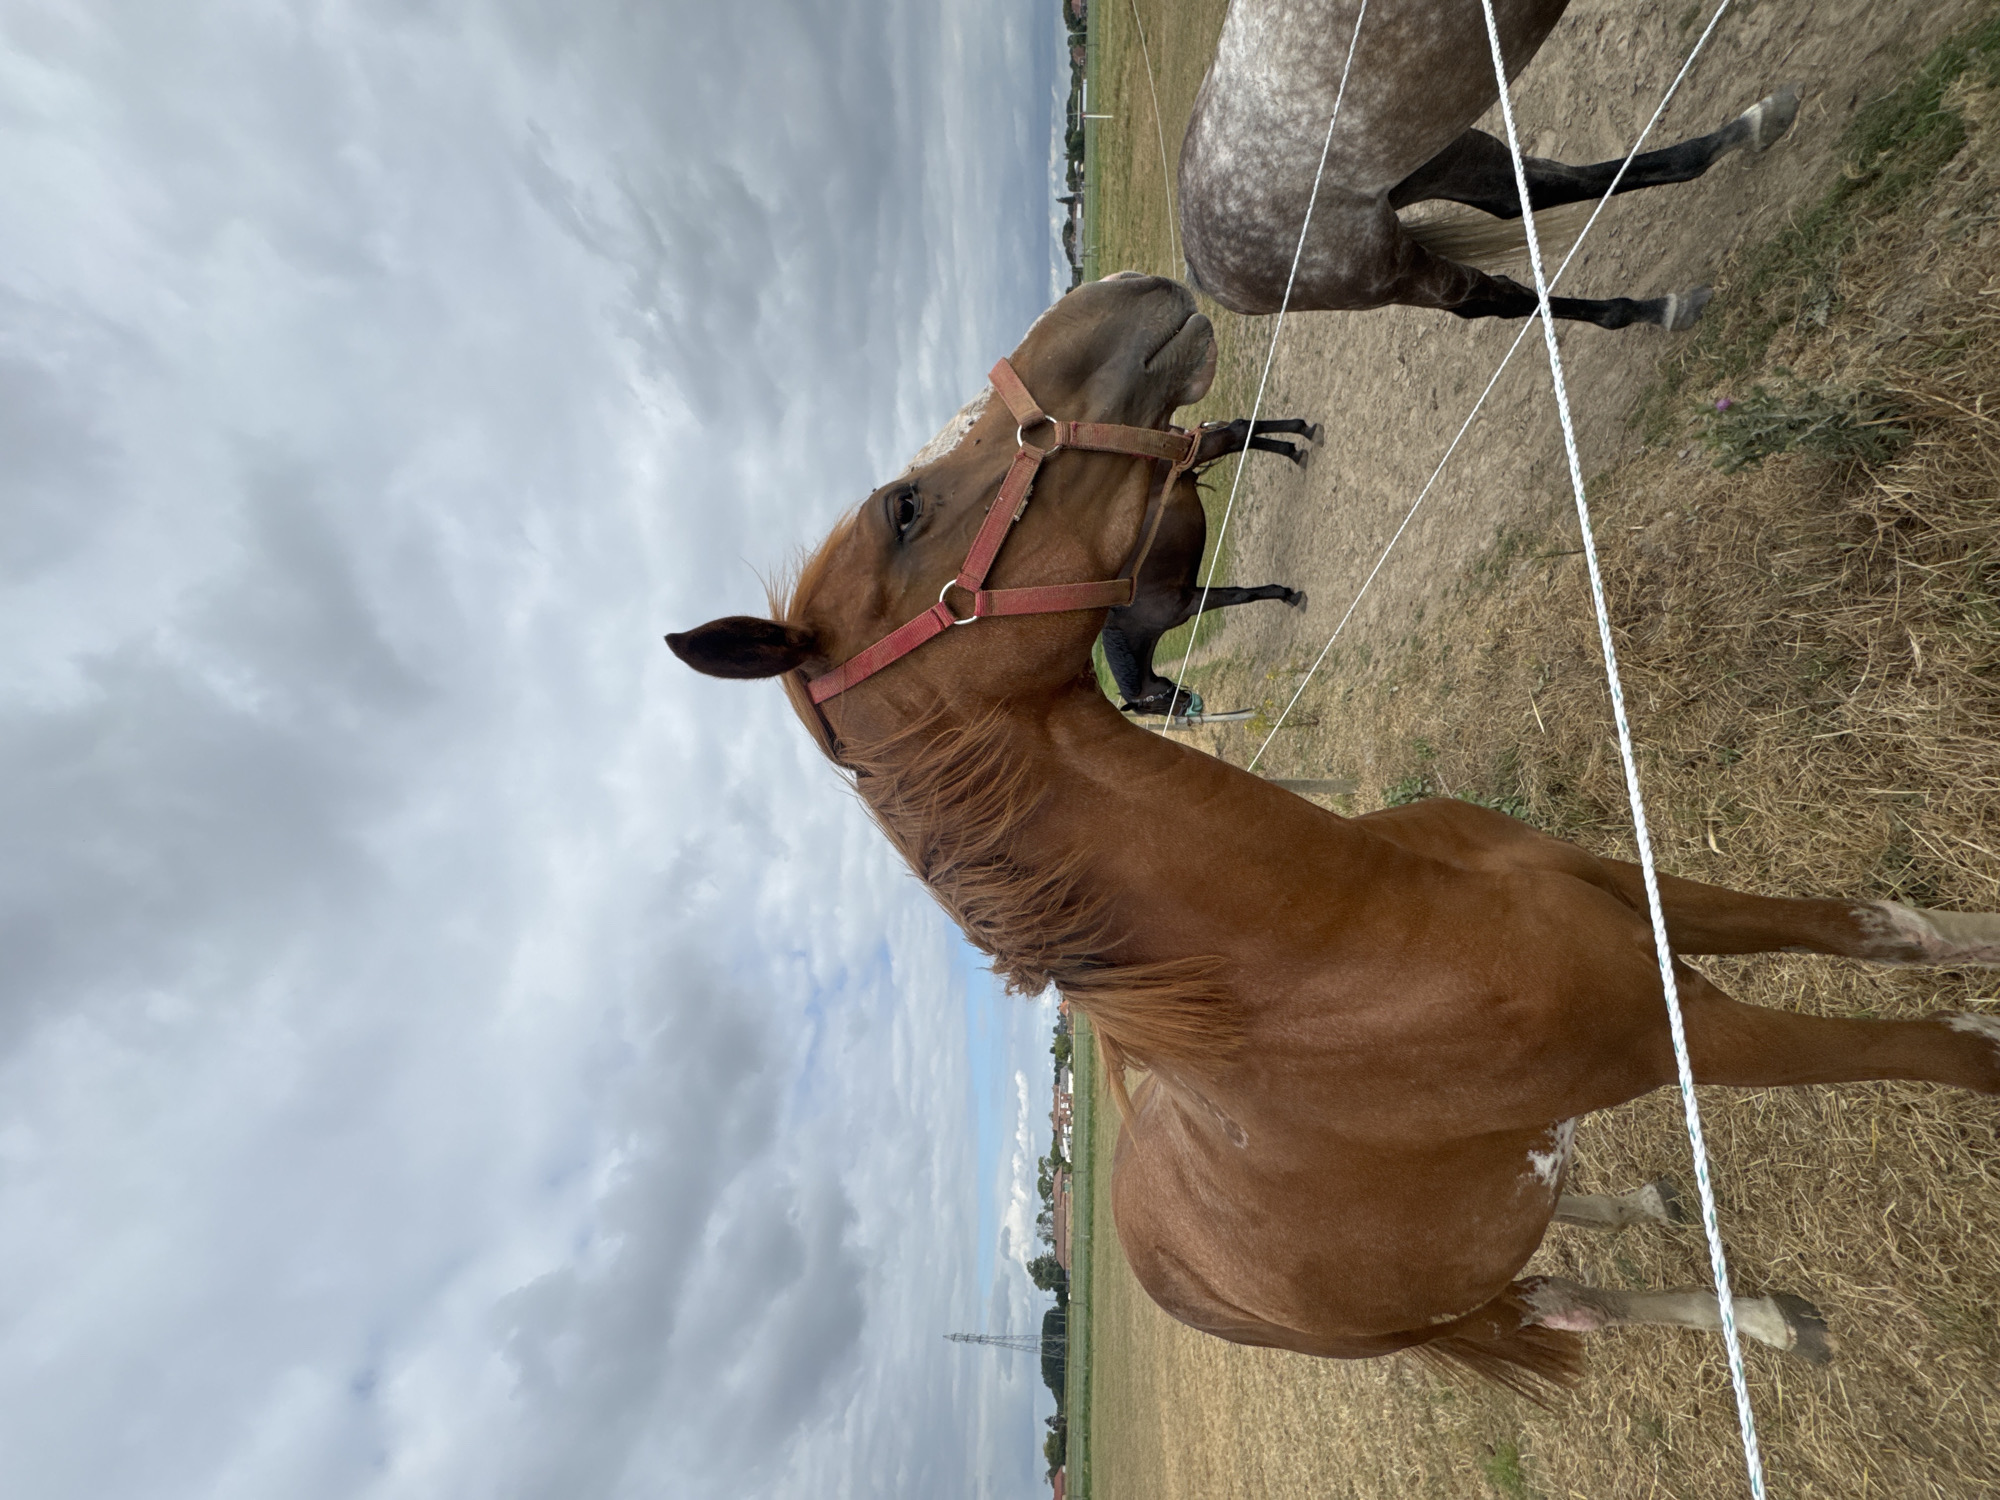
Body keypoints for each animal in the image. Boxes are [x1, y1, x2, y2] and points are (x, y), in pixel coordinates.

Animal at [1103, 416, 1318, 719]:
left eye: (1157, 706)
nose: (1191, 710)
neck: (1134, 616)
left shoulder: (1193, 601)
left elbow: (1241, 594)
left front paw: (1287, 594)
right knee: (1243, 432)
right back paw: (1294, 448)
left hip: (1203, 449)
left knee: (1238, 432)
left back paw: (1301, 434)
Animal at [1179, 0, 1799, 330]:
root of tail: (1204, 268)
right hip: (1391, 270)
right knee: (1494, 298)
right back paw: (1659, 308)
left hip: (1443, 155)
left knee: (1525, 191)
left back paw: (1748, 128)